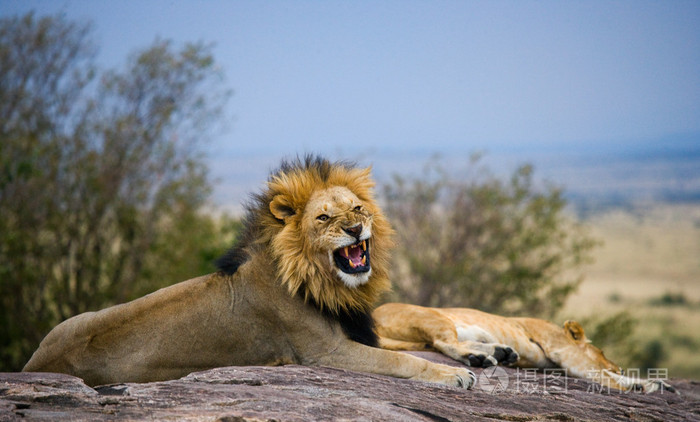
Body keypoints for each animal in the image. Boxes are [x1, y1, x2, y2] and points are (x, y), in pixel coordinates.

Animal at [26, 156, 476, 390]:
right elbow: (403, 360)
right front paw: (457, 375)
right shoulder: (325, 353)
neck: (326, 283)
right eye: (324, 217)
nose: (354, 229)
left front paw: (479, 353)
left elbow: (407, 345)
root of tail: (35, 366)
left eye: (358, 208)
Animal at [374, 304, 676, 392]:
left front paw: (654, 384)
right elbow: (603, 377)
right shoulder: (568, 355)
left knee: (453, 341)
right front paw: (637, 387)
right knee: (444, 343)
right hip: (433, 317)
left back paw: (500, 353)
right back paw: (480, 358)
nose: (620, 366)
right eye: (602, 352)